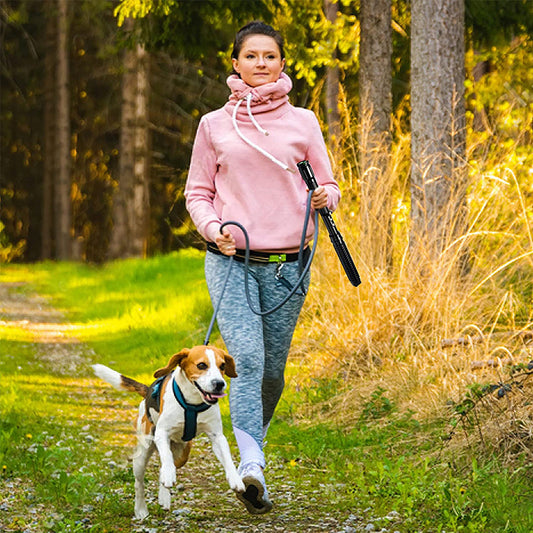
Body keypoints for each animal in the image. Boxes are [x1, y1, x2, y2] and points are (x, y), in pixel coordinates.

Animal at [92, 344, 244, 520]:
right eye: (201, 365)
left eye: (222, 366)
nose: (219, 384)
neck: (193, 403)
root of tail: (147, 392)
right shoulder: (162, 433)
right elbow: (165, 456)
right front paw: (168, 477)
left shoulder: (217, 436)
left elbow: (227, 457)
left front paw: (235, 478)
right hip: (143, 453)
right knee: (141, 481)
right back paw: (141, 509)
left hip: (183, 453)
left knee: (163, 468)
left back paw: (164, 496)